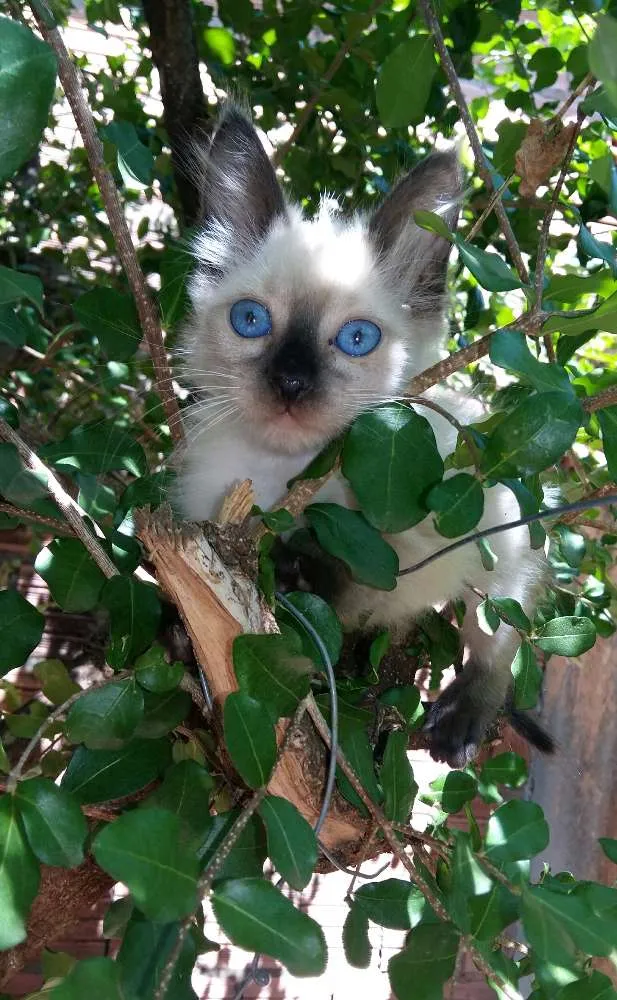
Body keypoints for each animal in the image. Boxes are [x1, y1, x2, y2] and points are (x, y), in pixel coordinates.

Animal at [176, 107, 552, 764]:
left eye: (356, 339)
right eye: (251, 321)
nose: (291, 382)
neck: (284, 481)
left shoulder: (420, 540)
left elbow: (361, 580)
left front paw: (300, 568)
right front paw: (176, 637)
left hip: (505, 533)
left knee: (497, 637)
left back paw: (457, 723)